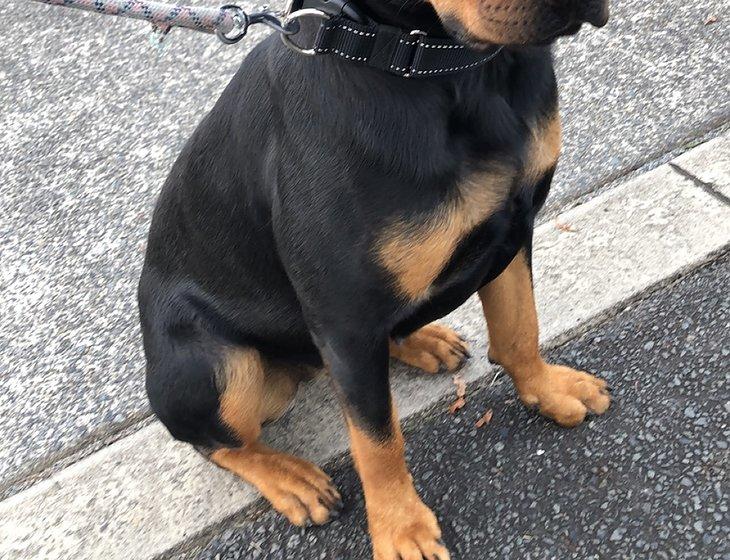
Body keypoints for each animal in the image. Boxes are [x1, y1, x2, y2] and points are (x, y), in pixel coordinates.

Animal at [136, 2, 608, 556]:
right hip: (218, 368)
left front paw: (549, 390)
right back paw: (290, 478)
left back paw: (423, 340)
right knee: (218, 443)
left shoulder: (515, 223)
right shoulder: (344, 315)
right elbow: (377, 439)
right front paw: (401, 528)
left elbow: (519, 330)